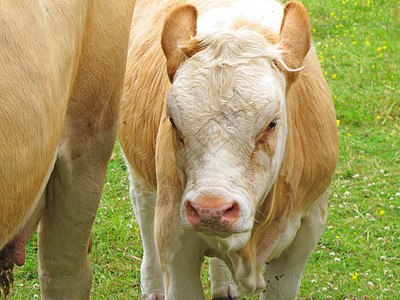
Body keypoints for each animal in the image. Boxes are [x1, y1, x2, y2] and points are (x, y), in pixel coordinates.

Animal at [119, 0, 338, 298]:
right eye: (173, 120)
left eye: (271, 124)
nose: (210, 210)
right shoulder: (174, 239)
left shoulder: (306, 232)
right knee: (143, 208)